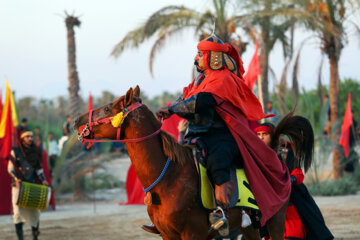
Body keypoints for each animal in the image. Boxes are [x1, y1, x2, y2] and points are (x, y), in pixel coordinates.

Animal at [73, 86, 296, 240]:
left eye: (107, 108)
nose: (76, 121)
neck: (169, 177)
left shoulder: (192, 234)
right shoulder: (167, 235)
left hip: (276, 220)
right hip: (249, 226)